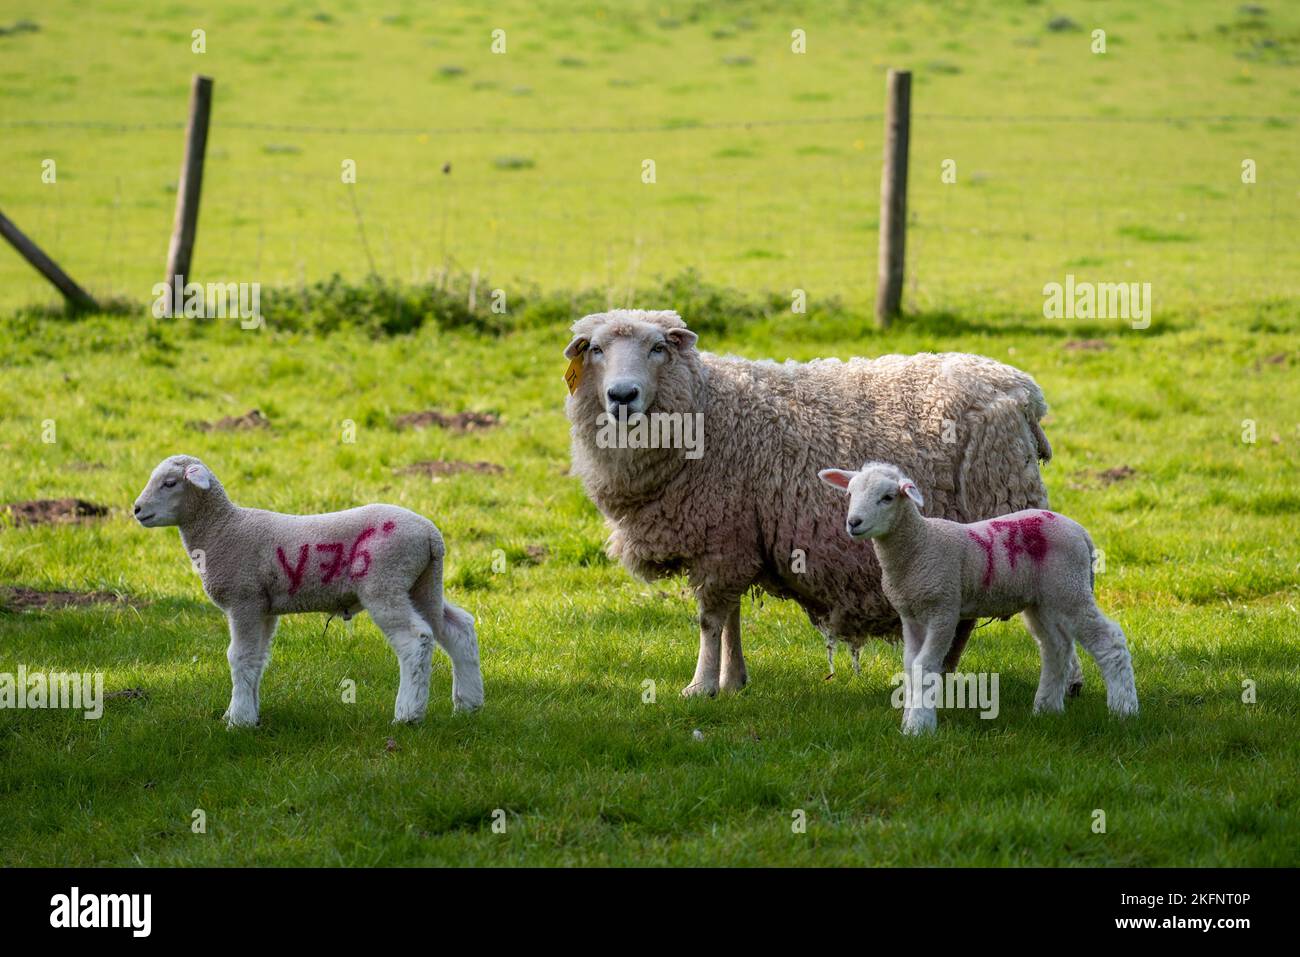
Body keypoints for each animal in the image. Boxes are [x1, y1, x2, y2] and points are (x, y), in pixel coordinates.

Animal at [133, 454, 483, 727]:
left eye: (169, 483)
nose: (136, 509)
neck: (221, 528)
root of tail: (431, 534)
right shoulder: (263, 607)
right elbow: (257, 658)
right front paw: (247, 713)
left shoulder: (244, 599)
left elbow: (239, 656)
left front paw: (238, 721)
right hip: (423, 583)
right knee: (457, 629)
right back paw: (469, 705)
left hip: (384, 582)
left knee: (416, 639)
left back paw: (408, 714)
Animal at [563, 309, 1079, 696]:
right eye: (596, 349)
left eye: (658, 348)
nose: (622, 395)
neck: (709, 406)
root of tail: (1023, 391)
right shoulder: (735, 532)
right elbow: (729, 617)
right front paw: (733, 681)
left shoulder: (721, 536)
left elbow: (710, 620)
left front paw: (701, 685)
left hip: (1007, 502)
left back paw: (1067, 683)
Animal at [818, 461, 1138, 733]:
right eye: (850, 493)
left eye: (887, 497)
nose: (854, 522)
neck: (919, 545)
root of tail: (1081, 532)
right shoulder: (911, 615)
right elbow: (910, 666)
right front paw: (909, 719)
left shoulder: (943, 610)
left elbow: (925, 666)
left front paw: (919, 727)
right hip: (1042, 600)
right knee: (1055, 648)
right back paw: (1046, 709)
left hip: (1069, 588)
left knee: (1109, 640)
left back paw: (1124, 710)